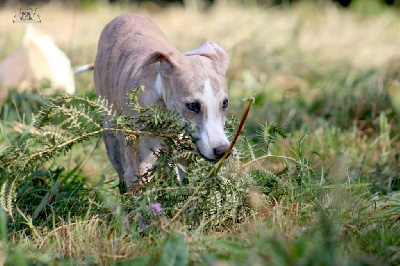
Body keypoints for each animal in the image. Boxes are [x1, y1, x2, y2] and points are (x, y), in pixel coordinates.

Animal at [91, 14, 228, 189]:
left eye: (225, 103)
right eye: (193, 106)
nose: (222, 151)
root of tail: (124, 15)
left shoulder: (185, 156)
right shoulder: (138, 170)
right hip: (112, 138)